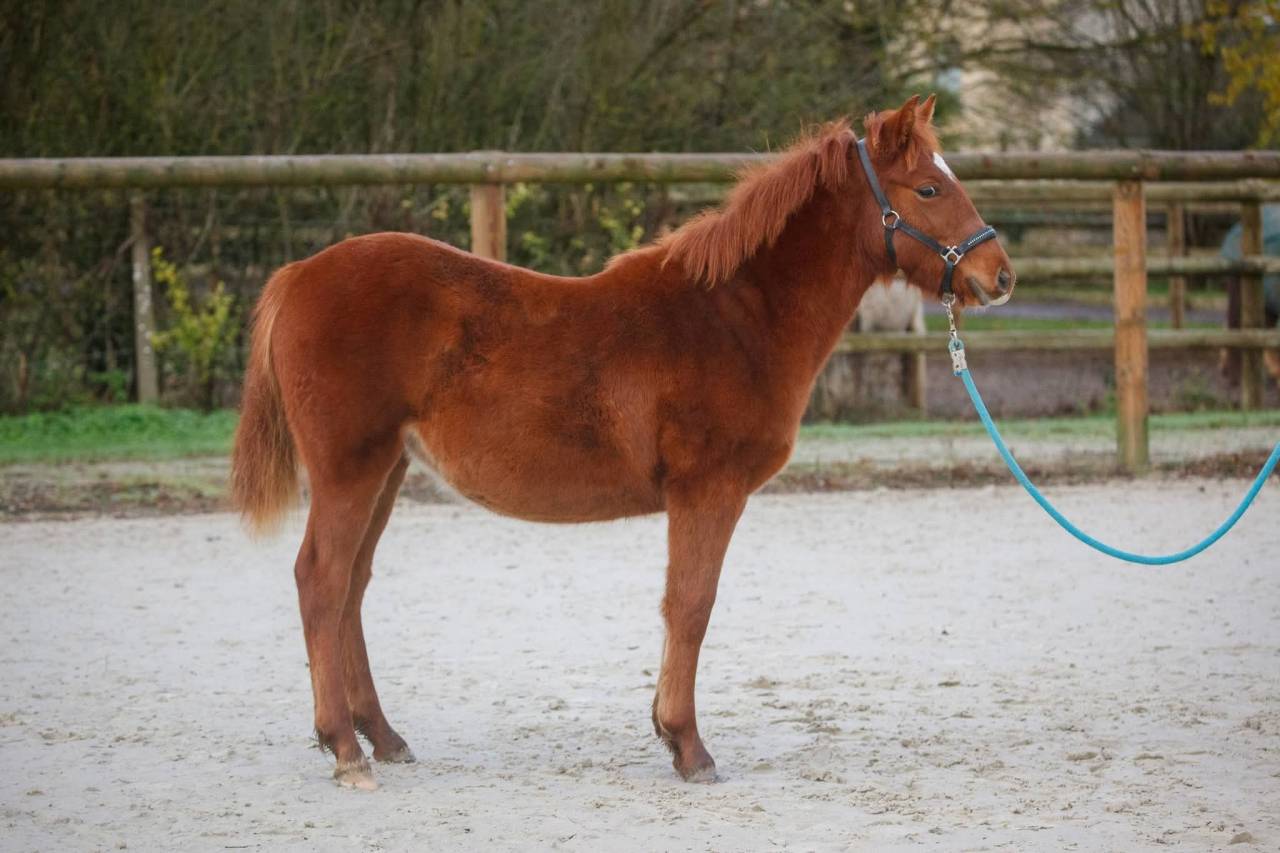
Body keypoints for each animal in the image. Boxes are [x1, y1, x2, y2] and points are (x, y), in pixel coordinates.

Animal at [230, 94, 1015, 790]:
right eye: (928, 187)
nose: (999, 274)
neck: (734, 317)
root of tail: (298, 274)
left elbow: (680, 606)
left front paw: (671, 733)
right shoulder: (708, 490)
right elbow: (691, 606)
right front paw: (689, 748)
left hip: (388, 468)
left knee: (351, 587)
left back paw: (382, 737)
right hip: (349, 469)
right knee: (321, 580)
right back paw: (344, 749)